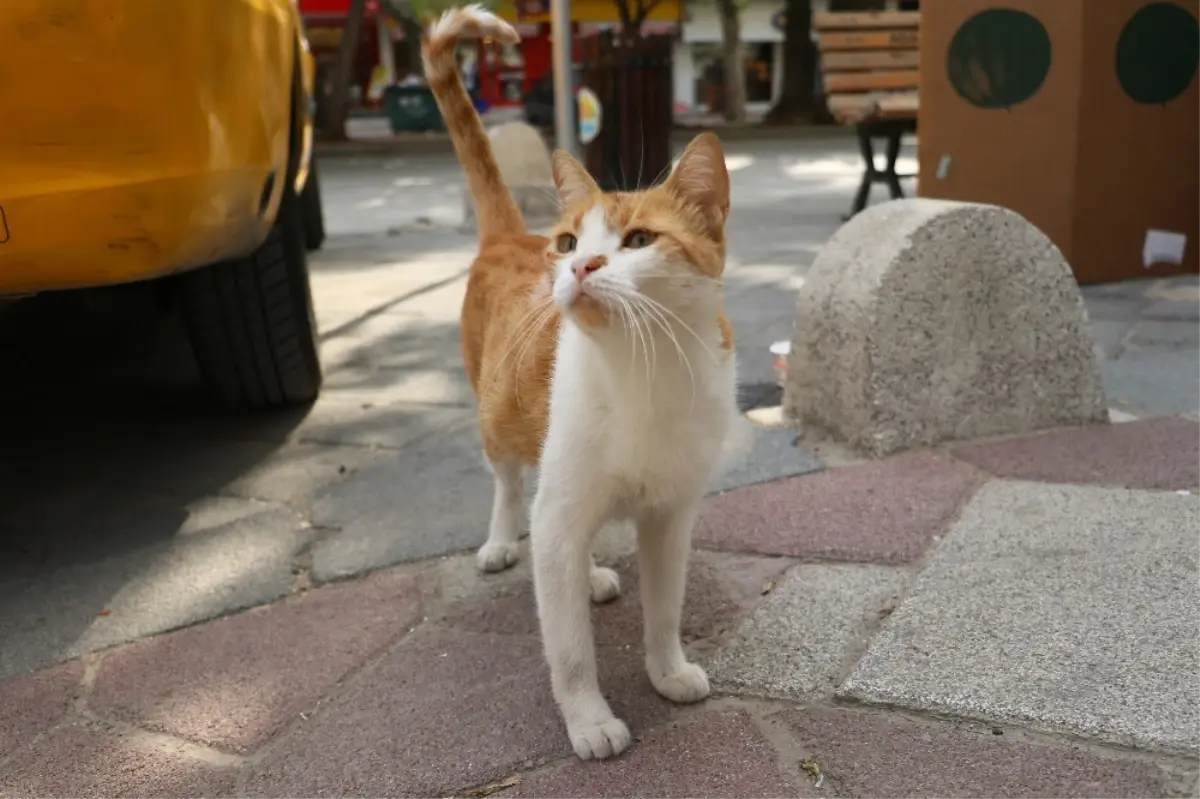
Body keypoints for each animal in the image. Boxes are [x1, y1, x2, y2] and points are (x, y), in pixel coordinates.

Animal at [424, 7, 739, 758]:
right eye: (569, 242)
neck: (644, 370)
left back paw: (589, 573)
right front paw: (590, 719)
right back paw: (505, 540)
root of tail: (506, 238)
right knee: (513, 488)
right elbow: (568, 648)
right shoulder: (563, 507)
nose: (579, 266)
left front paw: (668, 669)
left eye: (640, 240)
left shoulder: (670, 515)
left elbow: (665, 608)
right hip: (500, 423)